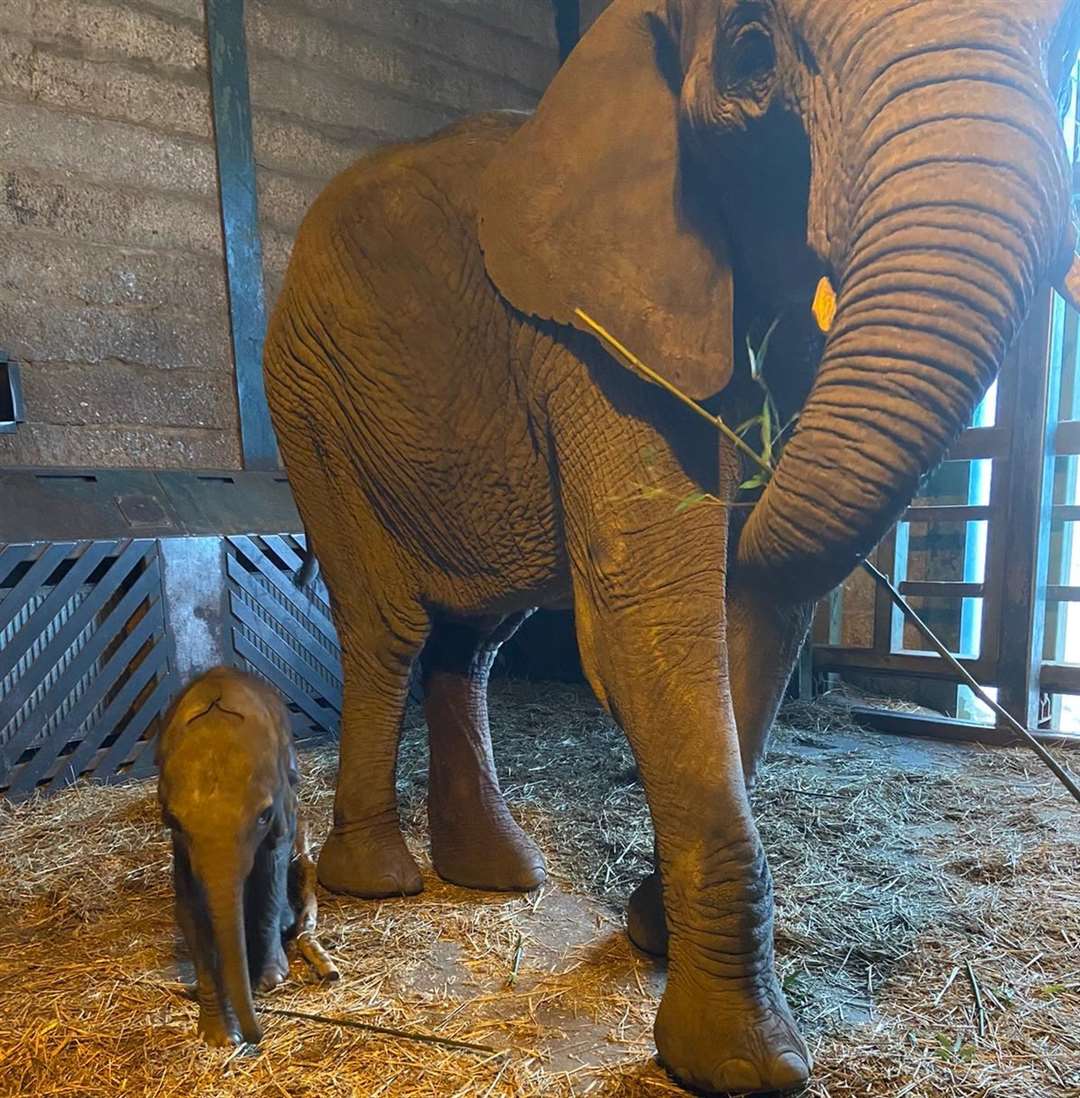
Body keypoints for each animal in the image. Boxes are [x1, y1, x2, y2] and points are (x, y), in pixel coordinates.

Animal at [156, 663, 338, 1040]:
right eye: (173, 820)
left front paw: (270, 980)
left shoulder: (280, 806)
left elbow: (271, 866)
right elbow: (188, 902)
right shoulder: (181, 845)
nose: (257, 1034)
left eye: (263, 816)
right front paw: (219, 1036)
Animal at [265, 0, 1080, 1089]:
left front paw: (653, 936)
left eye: (1063, 58)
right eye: (751, 53)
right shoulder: (591, 335)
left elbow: (751, 633)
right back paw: (383, 884)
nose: (754, 467)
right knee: (389, 627)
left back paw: (494, 876)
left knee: (472, 641)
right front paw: (741, 1063)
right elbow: (651, 625)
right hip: (310, 403)